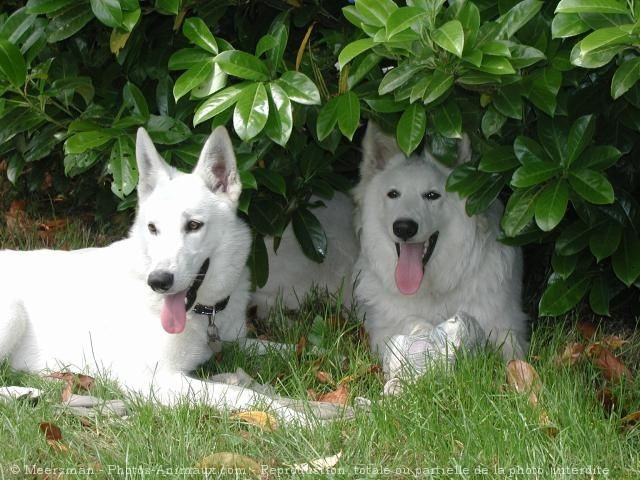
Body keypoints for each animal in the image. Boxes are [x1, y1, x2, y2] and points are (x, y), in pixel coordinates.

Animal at [0, 126, 308, 420]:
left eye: (194, 225)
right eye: (152, 228)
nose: (158, 281)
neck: (204, 313)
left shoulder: (235, 341)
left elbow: (291, 347)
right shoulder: (154, 378)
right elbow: (239, 393)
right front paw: (295, 417)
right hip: (12, 313)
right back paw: (24, 393)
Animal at [352, 124, 528, 360]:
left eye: (432, 195)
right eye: (393, 194)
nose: (404, 228)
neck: (434, 291)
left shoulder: (504, 324)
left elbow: (513, 354)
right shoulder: (386, 332)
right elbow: (410, 333)